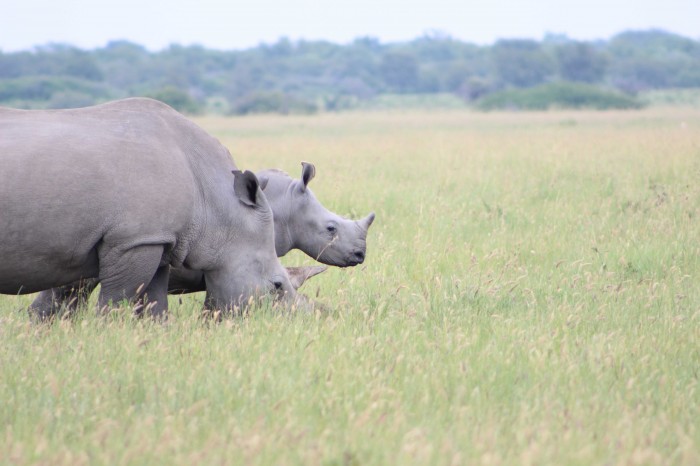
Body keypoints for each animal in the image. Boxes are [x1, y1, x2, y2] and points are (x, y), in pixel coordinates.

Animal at [0, 97, 300, 316]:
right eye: (277, 286)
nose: (292, 321)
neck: (217, 204)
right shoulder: (133, 240)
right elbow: (115, 302)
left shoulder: (159, 240)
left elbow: (154, 306)